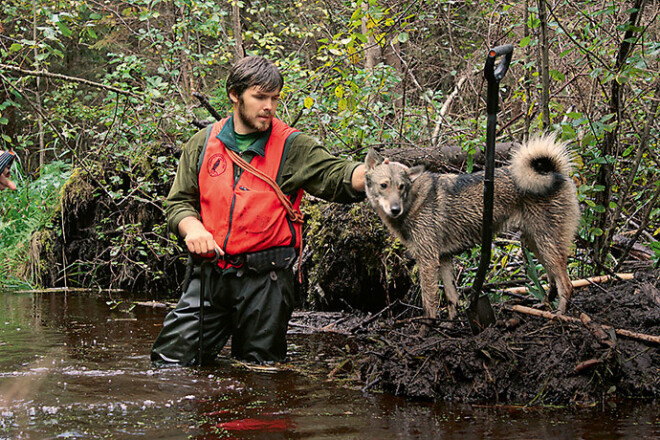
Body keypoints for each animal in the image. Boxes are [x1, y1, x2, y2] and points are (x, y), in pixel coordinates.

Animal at [364, 134, 580, 320]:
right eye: (383, 185)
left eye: (401, 187)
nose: (395, 209)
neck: (414, 200)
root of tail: (555, 172)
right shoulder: (444, 259)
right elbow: (452, 298)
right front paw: (451, 324)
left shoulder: (428, 261)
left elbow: (429, 303)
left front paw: (427, 329)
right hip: (536, 243)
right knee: (553, 279)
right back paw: (544, 307)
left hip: (547, 244)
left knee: (566, 284)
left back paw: (560, 314)